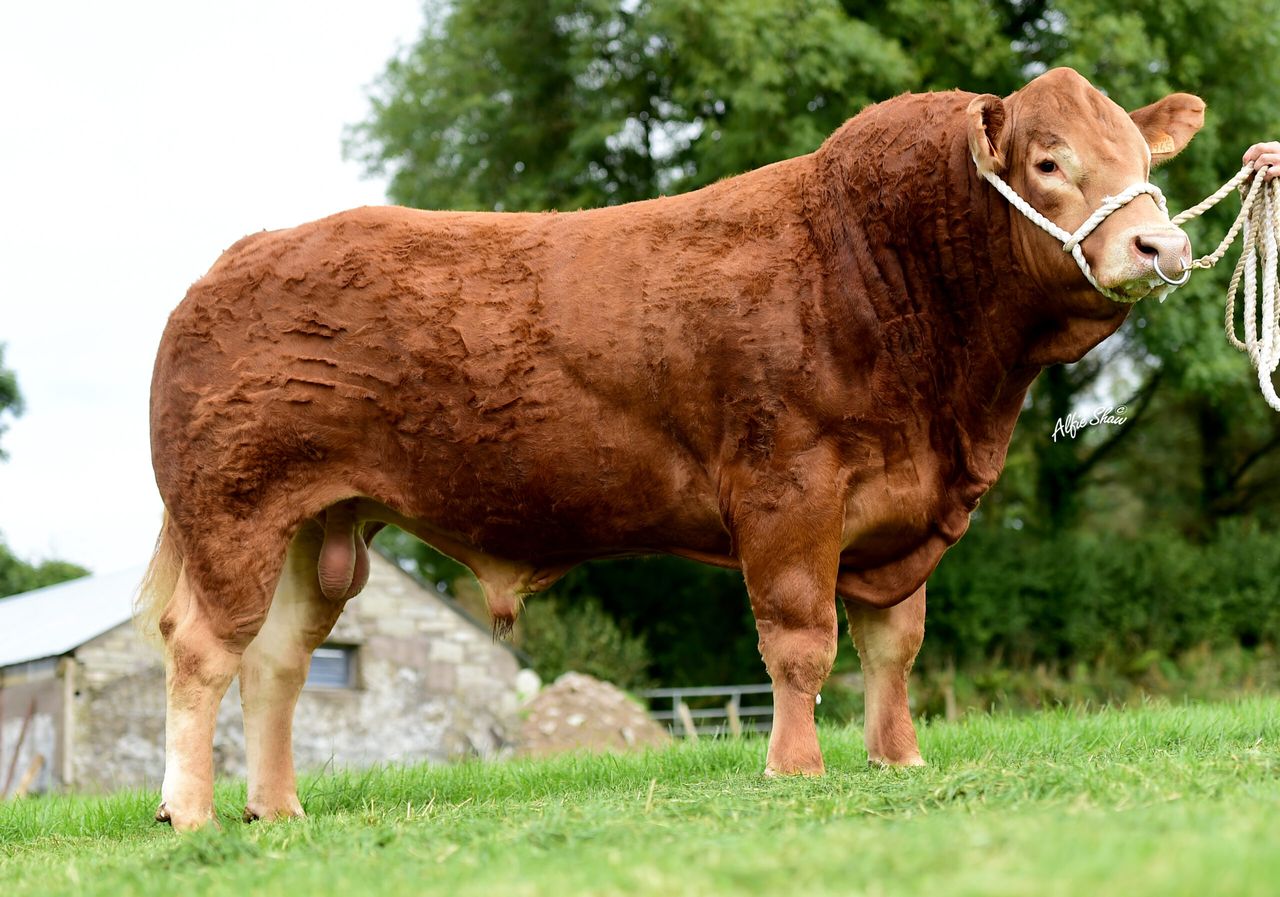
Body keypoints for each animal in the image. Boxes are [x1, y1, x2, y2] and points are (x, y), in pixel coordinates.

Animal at [142, 66, 1230, 830]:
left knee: (276, 662)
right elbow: (799, 640)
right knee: (200, 650)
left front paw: (897, 757)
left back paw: (276, 806)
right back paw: (190, 811)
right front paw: (795, 766)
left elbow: (894, 645)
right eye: (1049, 163)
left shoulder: (900, 513)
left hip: (317, 527)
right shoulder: (788, 488)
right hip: (234, 511)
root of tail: (234, 263)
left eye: (1145, 162)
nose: (1161, 246)